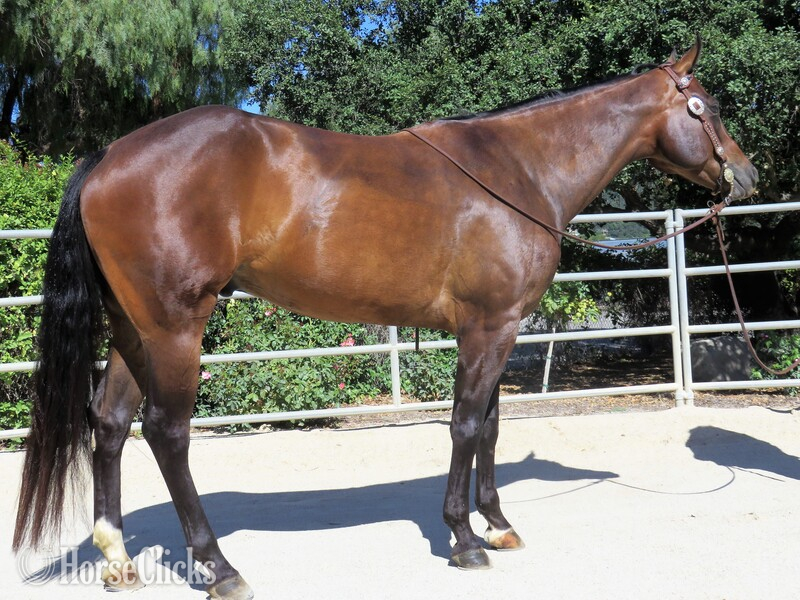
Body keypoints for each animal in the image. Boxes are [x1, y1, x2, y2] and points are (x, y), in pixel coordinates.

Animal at [13, 40, 757, 599]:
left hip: (135, 329)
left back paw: (117, 558)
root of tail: (109, 157)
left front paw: (497, 522)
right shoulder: (490, 328)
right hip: (174, 331)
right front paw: (463, 538)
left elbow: (490, 425)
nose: (747, 176)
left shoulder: (497, 328)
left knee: (109, 422)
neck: (518, 170)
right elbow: (465, 425)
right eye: (707, 106)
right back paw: (218, 567)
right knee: (165, 433)